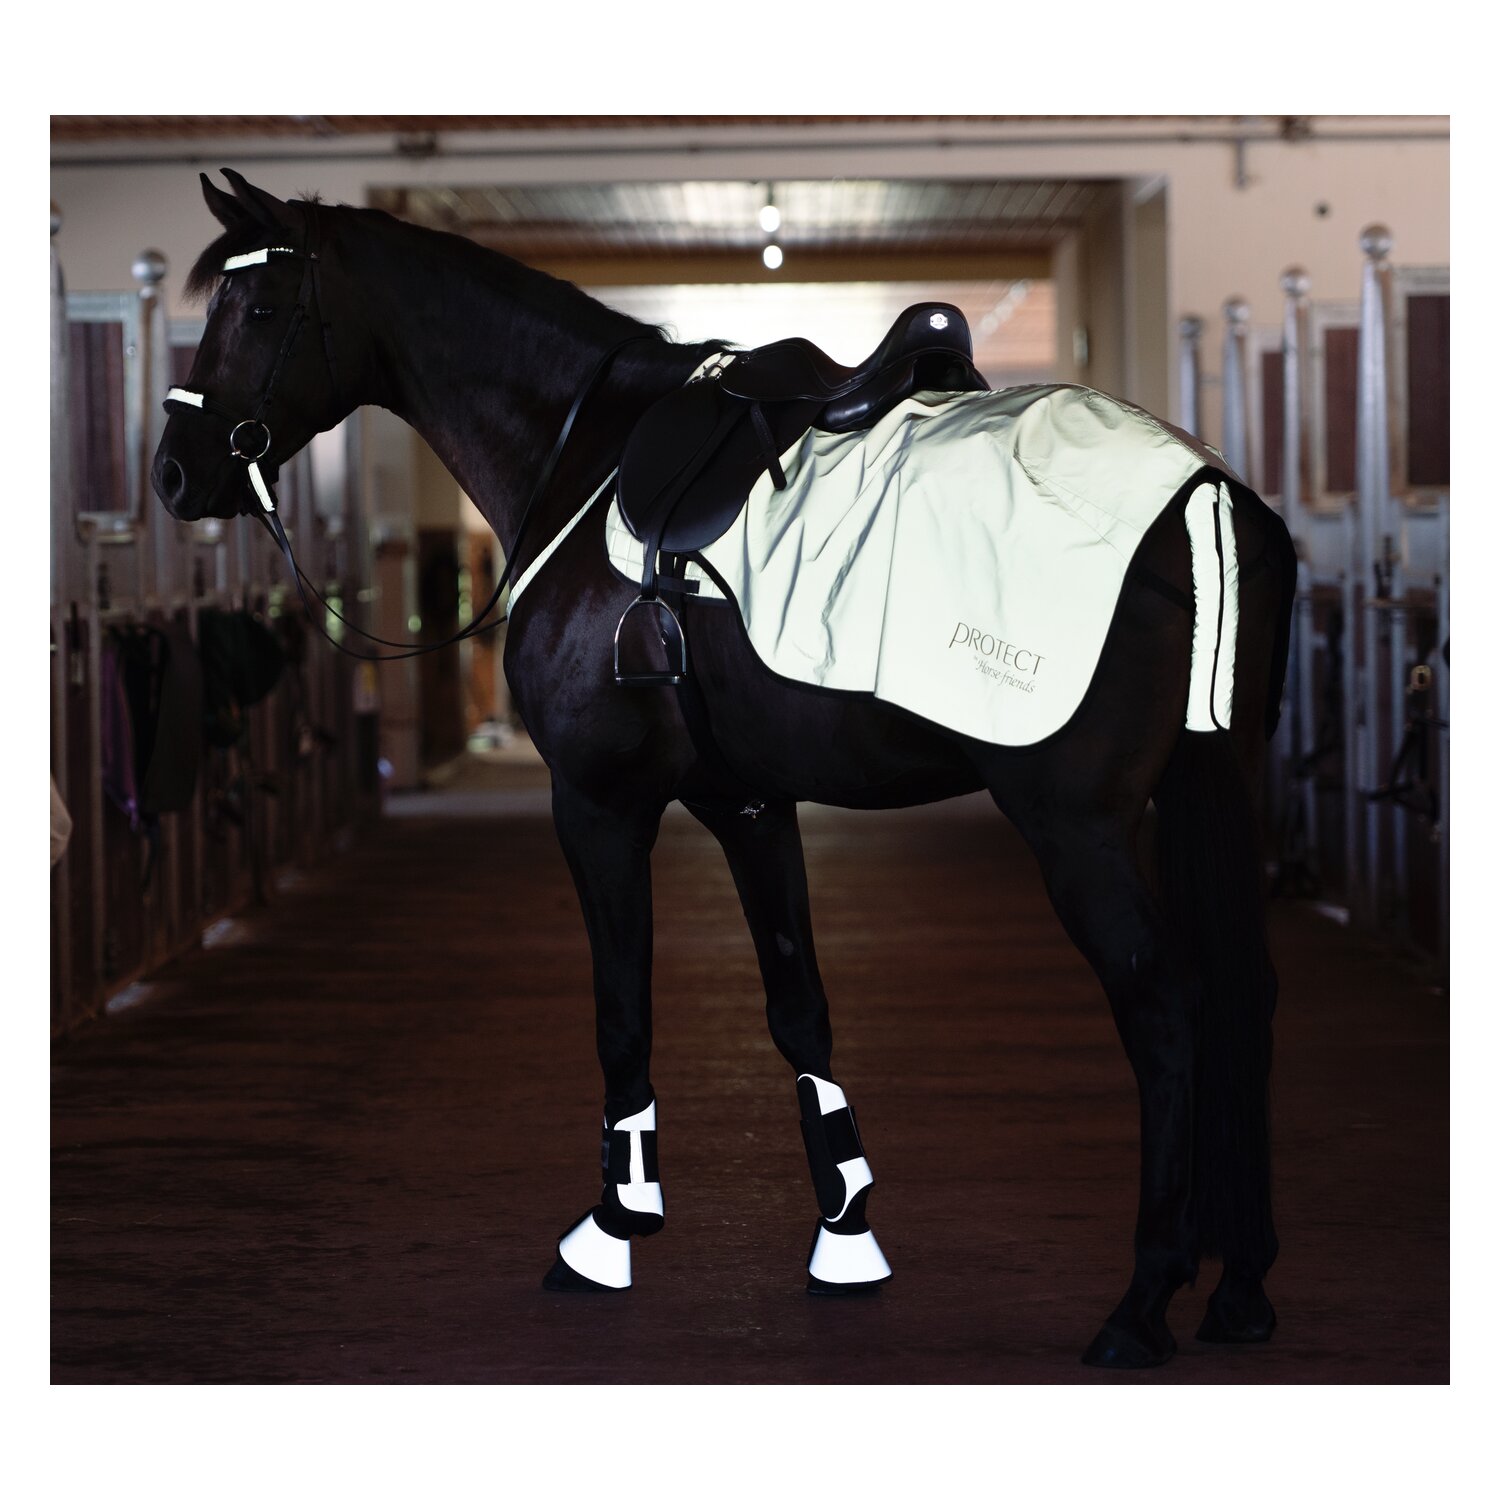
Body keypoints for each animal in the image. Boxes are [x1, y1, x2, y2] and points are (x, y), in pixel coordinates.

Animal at [151, 169, 1297, 1370]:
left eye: (260, 309)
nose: (177, 474)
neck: (588, 456)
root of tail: (1204, 496)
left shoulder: (599, 804)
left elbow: (622, 1008)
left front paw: (613, 1229)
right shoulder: (747, 802)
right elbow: (799, 1006)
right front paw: (846, 1232)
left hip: (1076, 827)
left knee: (1164, 1006)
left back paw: (1144, 1299)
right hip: (1213, 786)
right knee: (1245, 993)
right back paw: (1240, 1288)